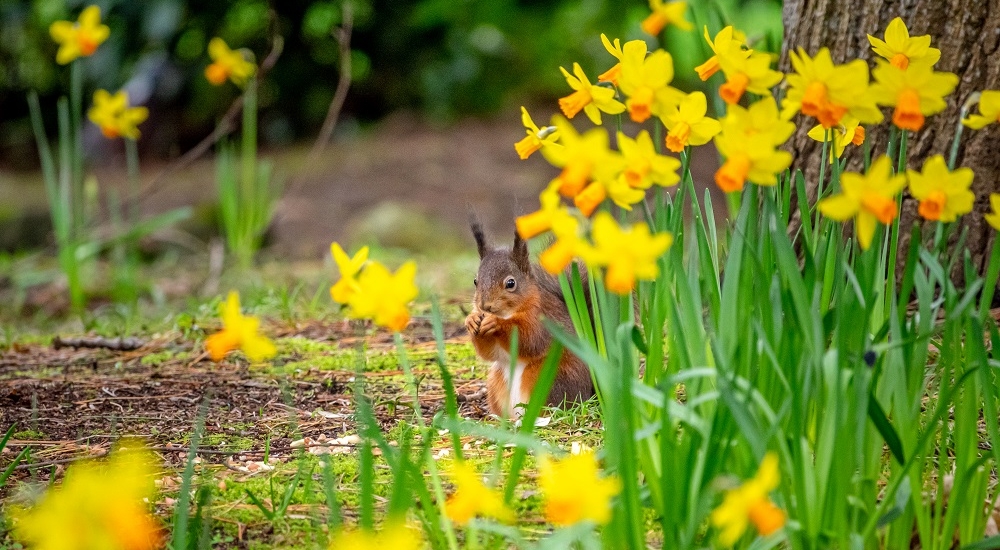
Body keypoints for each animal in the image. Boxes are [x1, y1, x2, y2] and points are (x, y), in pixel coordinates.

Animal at [466, 222, 596, 420]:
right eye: (475, 281)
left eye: (511, 283)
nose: (484, 306)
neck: (509, 312)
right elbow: (490, 353)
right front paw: (472, 320)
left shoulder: (542, 320)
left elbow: (530, 340)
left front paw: (496, 324)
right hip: (497, 381)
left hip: (547, 378)